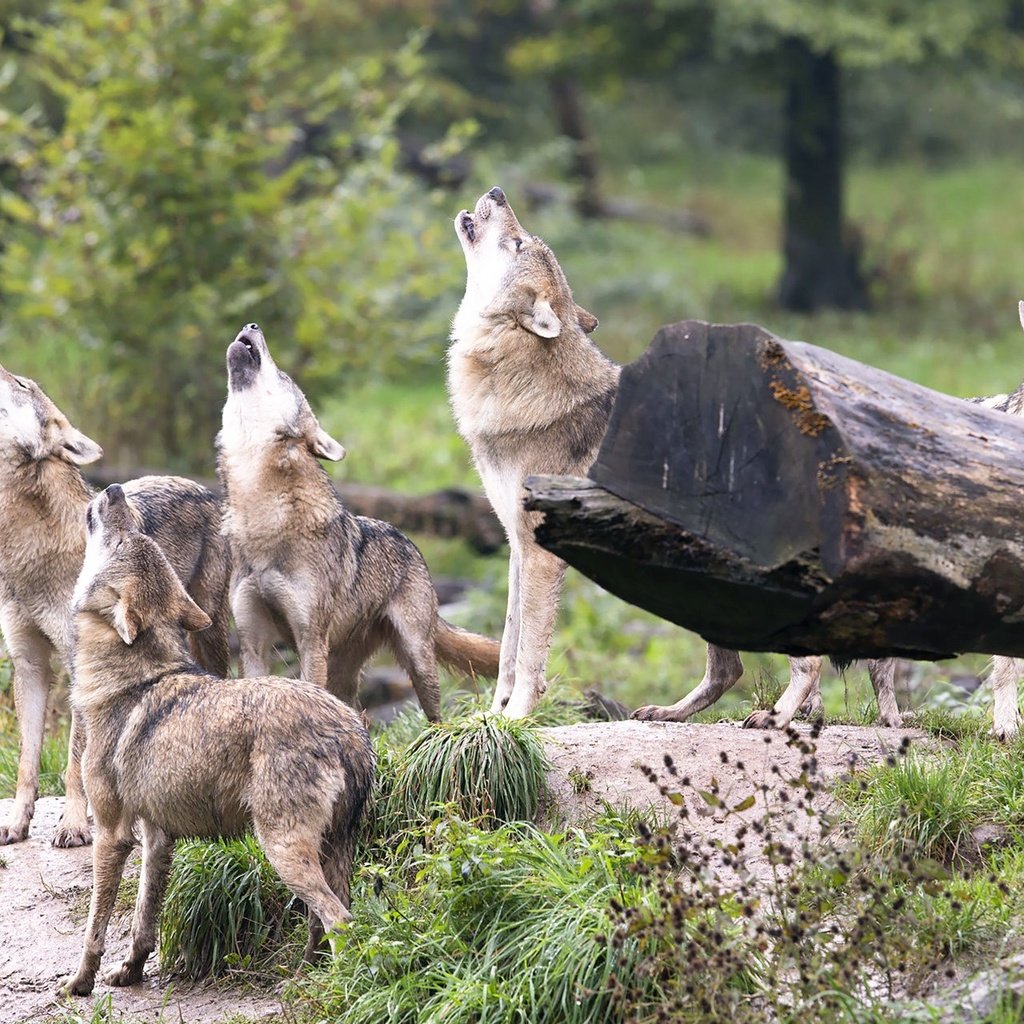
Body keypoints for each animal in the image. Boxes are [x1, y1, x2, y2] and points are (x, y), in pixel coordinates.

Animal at [0, 368, 232, 847]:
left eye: (23, 384)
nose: (1, 369)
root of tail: (202, 488)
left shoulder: (78, 667)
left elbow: (74, 763)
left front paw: (73, 825)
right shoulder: (28, 662)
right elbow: (28, 761)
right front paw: (16, 823)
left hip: (210, 635)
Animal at [59, 483, 374, 995]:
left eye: (129, 539)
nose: (114, 489)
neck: (131, 679)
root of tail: (351, 731)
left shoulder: (111, 833)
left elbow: (95, 925)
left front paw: (80, 983)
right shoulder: (156, 836)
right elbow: (143, 920)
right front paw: (130, 972)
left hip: (281, 850)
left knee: (339, 919)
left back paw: (330, 987)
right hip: (331, 851)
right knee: (328, 919)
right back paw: (304, 977)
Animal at [219, 321, 499, 720]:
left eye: (284, 376)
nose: (251, 324)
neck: (262, 517)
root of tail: (408, 540)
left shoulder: (310, 640)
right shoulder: (252, 642)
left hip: (417, 660)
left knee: (434, 715)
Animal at [448, 184, 614, 716]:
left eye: (519, 243)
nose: (497, 191)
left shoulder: (541, 552)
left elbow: (529, 654)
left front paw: (518, 717)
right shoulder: (517, 546)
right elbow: (507, 643)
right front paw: (492, 715)